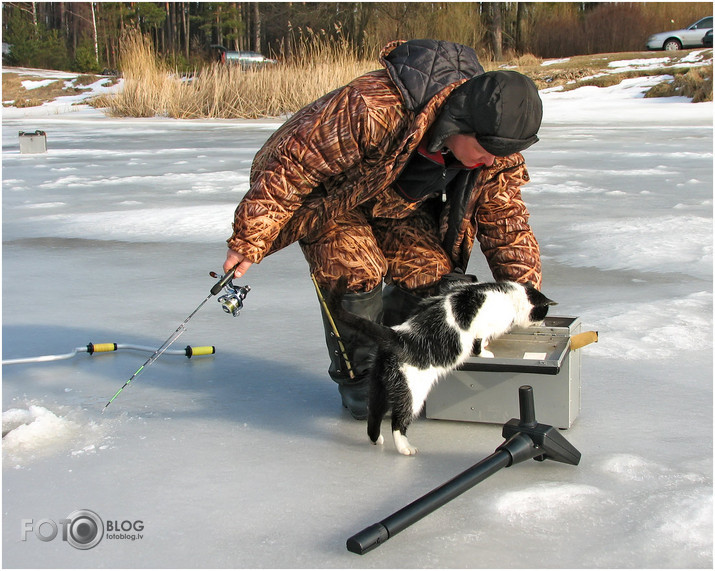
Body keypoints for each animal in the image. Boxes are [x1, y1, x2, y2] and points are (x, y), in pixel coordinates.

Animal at [330, 280, 560, 458]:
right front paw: (485, 353)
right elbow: (479, 343)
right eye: (543, 312)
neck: (510, 296)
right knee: (398, 422)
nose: (543, 322)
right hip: (412, 393)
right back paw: (405, 448)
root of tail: (395, 335)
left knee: (374, 415)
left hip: (379, 388)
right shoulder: (480, 327)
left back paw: (376, 440)